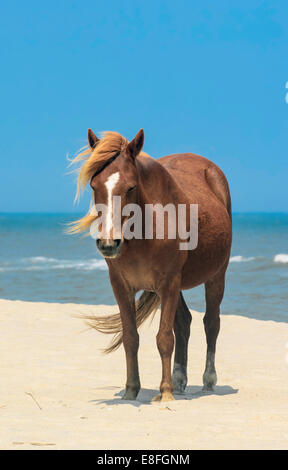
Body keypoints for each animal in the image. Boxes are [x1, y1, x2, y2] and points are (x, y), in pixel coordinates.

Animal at [69, 129, 232, 404]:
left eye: (131, 187)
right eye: (94, 186)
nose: (108, 244)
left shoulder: (169, 284)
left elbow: (164, 338)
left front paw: (164, 392)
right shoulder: (121, 286)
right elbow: (131, 338)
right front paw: (131, 390)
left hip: (216, 276)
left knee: (211, 323)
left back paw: (207, 381)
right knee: (184, 323)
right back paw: (179, 380)